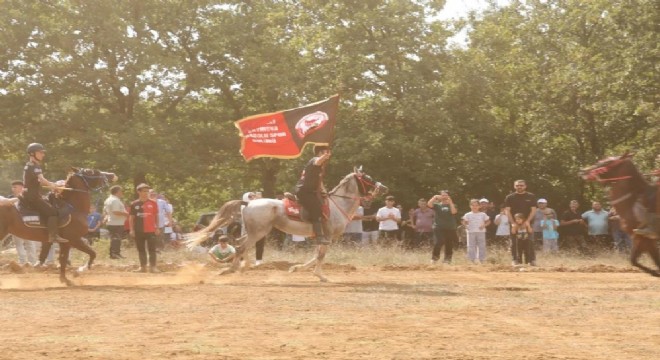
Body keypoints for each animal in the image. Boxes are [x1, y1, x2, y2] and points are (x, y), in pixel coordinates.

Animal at [186, 167, 386, 282]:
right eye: (367, 177)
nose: (383, 187)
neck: (338, 204)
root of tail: (248, 203)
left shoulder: (320, 237)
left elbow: (315, 255)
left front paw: (296, 268)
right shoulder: (327, 237)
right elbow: (320, 256)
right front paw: (320, 275)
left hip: (252, 231)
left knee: (239, 244)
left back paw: (243, 266)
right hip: (259, 232)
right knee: (242, 247)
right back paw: (231, 269)